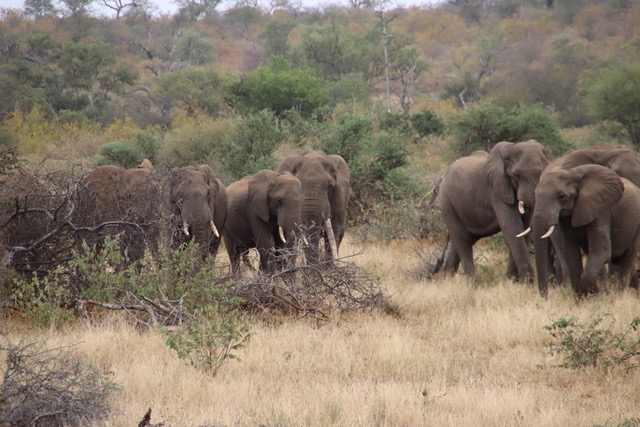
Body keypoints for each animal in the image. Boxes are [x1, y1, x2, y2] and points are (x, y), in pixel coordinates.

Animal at [437, 140, 550, 280]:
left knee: (462, 240)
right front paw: (526, 282)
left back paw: (448, 279)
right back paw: (472, 282)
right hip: (446, 201)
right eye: (516, 175)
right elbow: (512, 227)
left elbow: (524, 230)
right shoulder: (496, 190)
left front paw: (512, 281)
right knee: (462, 240)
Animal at [531, 164, 640, 297]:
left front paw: (597, 293)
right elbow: (570, 253)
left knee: (627, 258)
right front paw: (584, 298)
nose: (545, 298)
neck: (572, 174)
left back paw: (617, 296)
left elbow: (602, 252)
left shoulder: (601, 211)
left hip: (636, 226)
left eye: (562, 196)